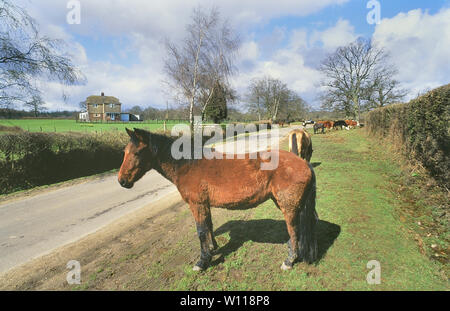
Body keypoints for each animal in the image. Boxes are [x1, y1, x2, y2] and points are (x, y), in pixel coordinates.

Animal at [118, 128, 318, 272]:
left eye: (136, 153)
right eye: (124, 152)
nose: (121, 181)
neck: (188, 165)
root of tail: (303, 163)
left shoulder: (197, 205)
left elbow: (201, 231)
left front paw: (202, 261)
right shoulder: (204, 205)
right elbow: (209, 227)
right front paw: (212, 249)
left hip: (288, 207)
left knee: (294, 229)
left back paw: (289, 260)